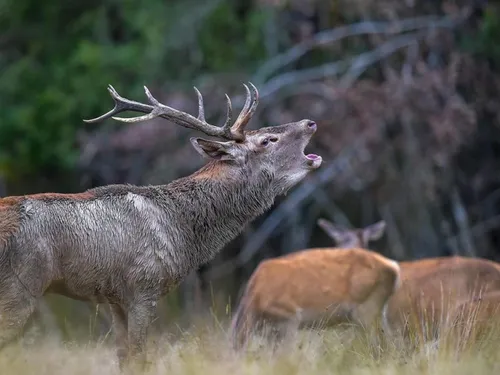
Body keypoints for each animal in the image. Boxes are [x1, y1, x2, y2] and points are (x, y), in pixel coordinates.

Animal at [0, 83, 322, 368]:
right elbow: (139, 358)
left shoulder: (115, 298)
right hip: (20, 285)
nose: (309, 122)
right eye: (267, 140)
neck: (182, 232)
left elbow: (124, 359)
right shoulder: (145, 286)